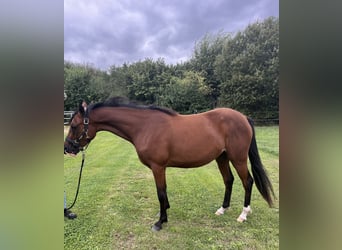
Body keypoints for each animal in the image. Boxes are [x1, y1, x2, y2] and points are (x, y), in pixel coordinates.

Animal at [64, 97, 274, 230]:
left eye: (73, 126)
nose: (67, 148)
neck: (145, 126)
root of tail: (243, 117)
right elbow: (163, 192)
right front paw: (165, 213)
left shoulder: (158, 167)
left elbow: (160, 192)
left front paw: (160, 222)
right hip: (222, 157)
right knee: (228, 180)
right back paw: (222, 209)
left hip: (238, 158)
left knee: (247, 182)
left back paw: (243, 214)